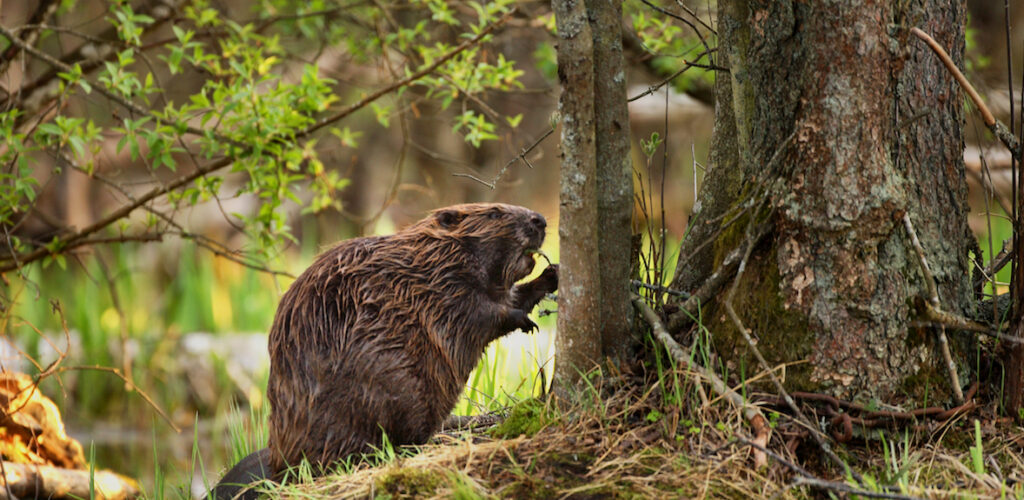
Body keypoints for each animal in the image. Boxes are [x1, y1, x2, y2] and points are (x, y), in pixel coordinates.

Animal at [210, 201, 557, 495]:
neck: (434, 256)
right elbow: (480, 313)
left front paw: (552, 274)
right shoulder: (444, 287)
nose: (540, 220)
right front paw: (524, 320)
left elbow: (510, 296)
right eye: (495, 213)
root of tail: (277, 467)